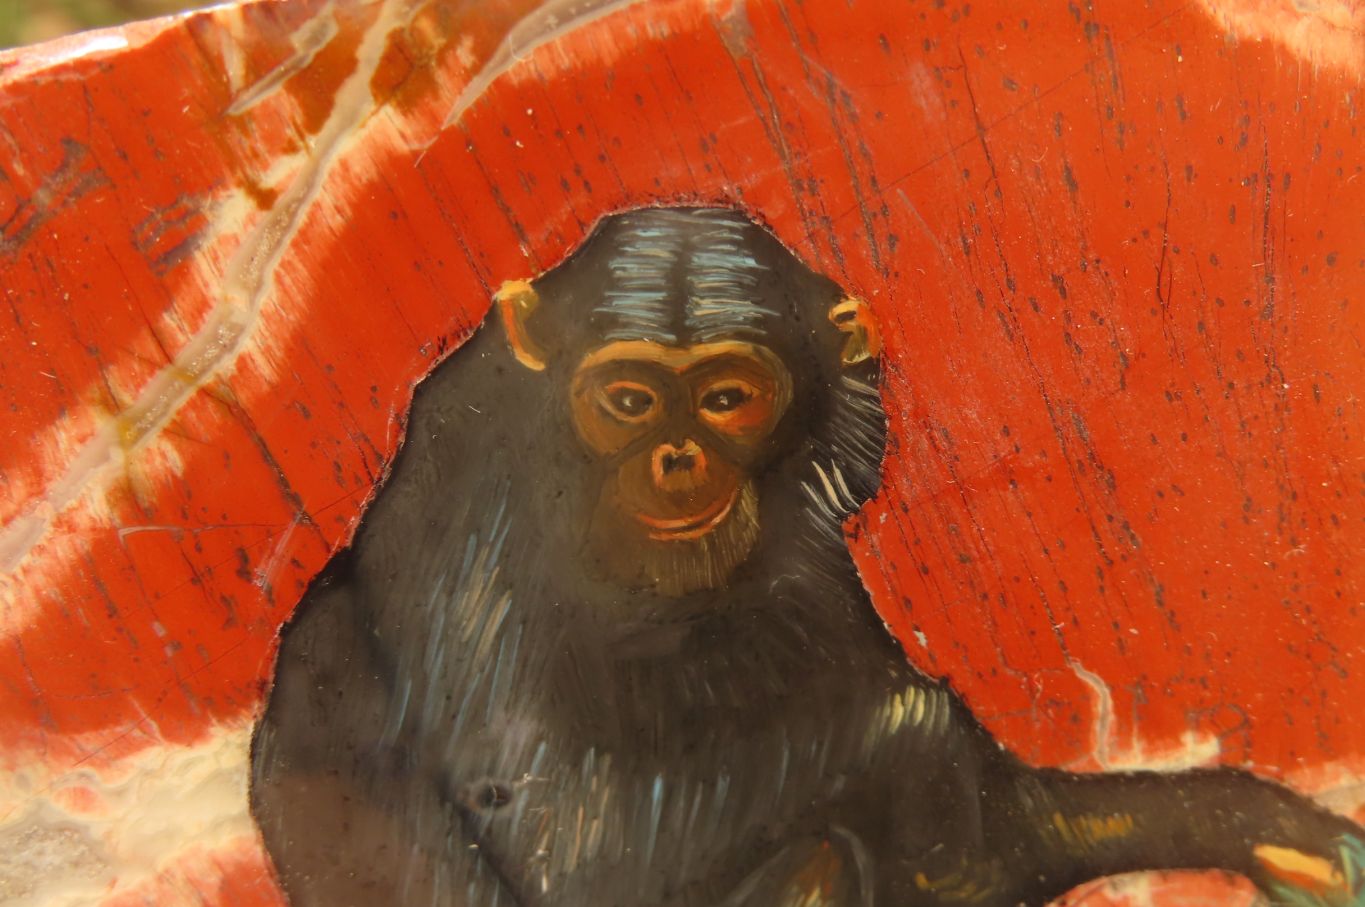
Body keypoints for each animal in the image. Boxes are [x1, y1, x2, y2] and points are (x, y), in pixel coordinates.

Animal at [250, 206, 1363, 906]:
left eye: (729, 395)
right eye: (628, 398)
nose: (678, 455)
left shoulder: (817, 532)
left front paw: (1252, 822)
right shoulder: (476, 524)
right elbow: (577, 840)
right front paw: (919, 738)